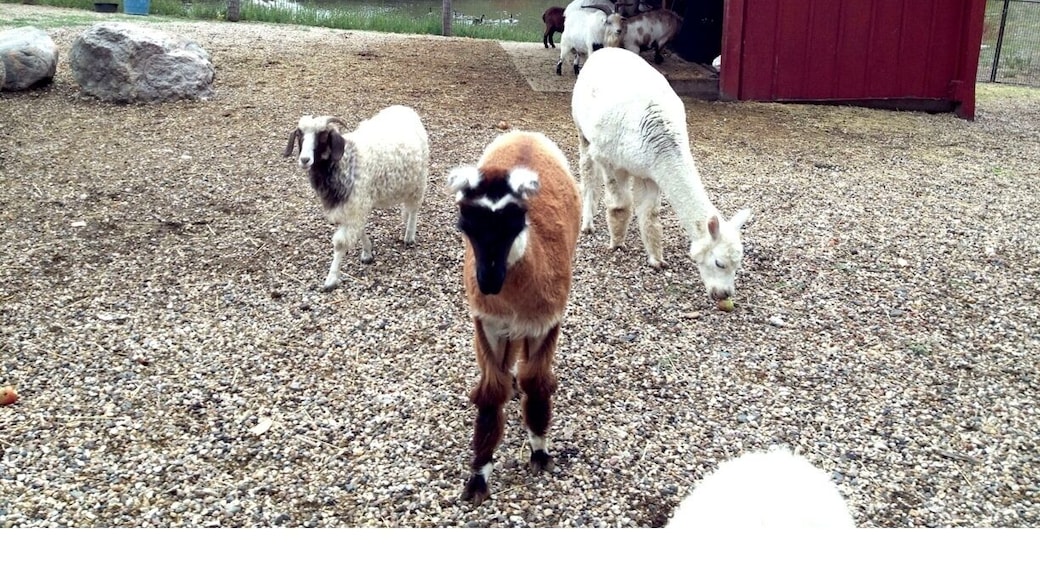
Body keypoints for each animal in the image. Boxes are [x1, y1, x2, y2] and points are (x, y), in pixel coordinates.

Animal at [283, 106, 429, 291]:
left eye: (323, 135)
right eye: (299, 134)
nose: (304, 159)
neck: (345, 161)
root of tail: (405, 109)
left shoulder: (356, 203)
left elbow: (340, 243)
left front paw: (331, 279)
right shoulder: (353, 206)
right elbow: (359, 230)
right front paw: (367, 252)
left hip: (419, 179)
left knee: (414, 208)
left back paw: (409, 235)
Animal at [447, 131, 581, 506]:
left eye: (514, 221)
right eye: (466, 225)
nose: (488, 280)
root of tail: (525, 136)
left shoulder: (546, 321)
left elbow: (536, 381)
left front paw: (540, 452)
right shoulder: (488, 323)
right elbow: (492, 392)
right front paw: (478, 477)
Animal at [572, 47, 753, 302]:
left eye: (738, 265)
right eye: (719, 263)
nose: (724, 294)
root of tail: (604, 50)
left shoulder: (652, 172)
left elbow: (650, 216)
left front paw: (656, 260)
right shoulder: (612, 161)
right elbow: (619, 207)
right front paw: (616, 244)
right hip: (582, 129)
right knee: (588, 171)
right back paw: (587, 223)